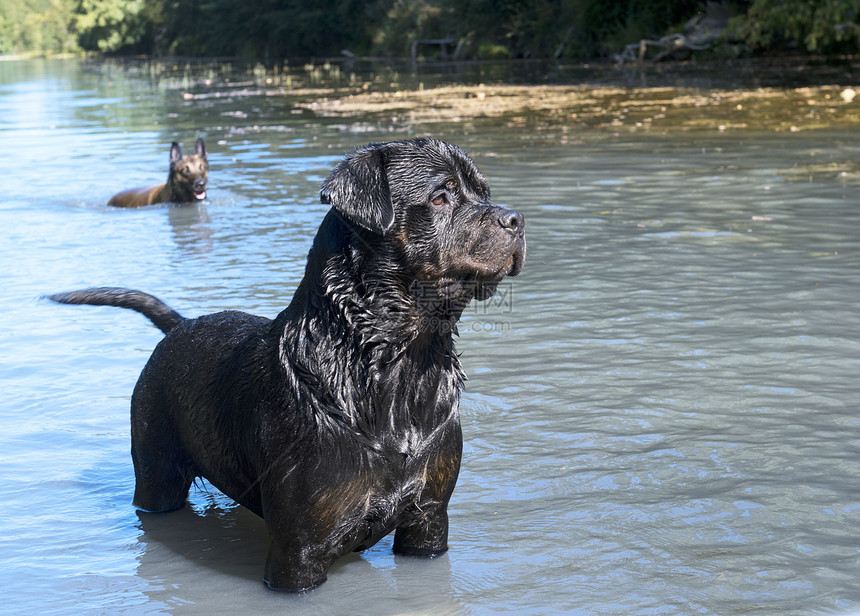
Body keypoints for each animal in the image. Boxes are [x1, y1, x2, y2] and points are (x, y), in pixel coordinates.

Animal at [52, 137, 532, 588]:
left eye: (484, 192)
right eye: (440, 197)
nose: (516, 219)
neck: (397, 369)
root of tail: (180, 325)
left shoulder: (429, 523)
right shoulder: (299, 551)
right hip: (156, 470)